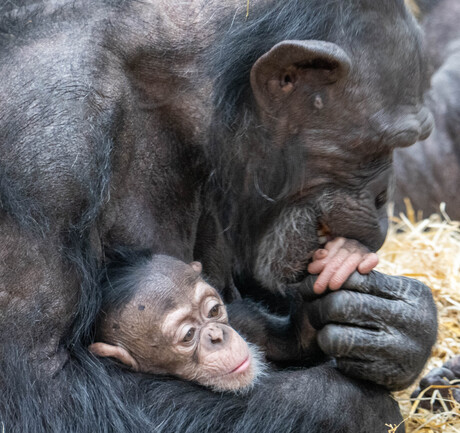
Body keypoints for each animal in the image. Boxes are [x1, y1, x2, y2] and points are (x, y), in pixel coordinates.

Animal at [90, 236, 378, 392]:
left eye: (213, 310)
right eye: (188, 335)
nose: (217, 335)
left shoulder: (245, 319)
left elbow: (294, 344)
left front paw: (342, 257)